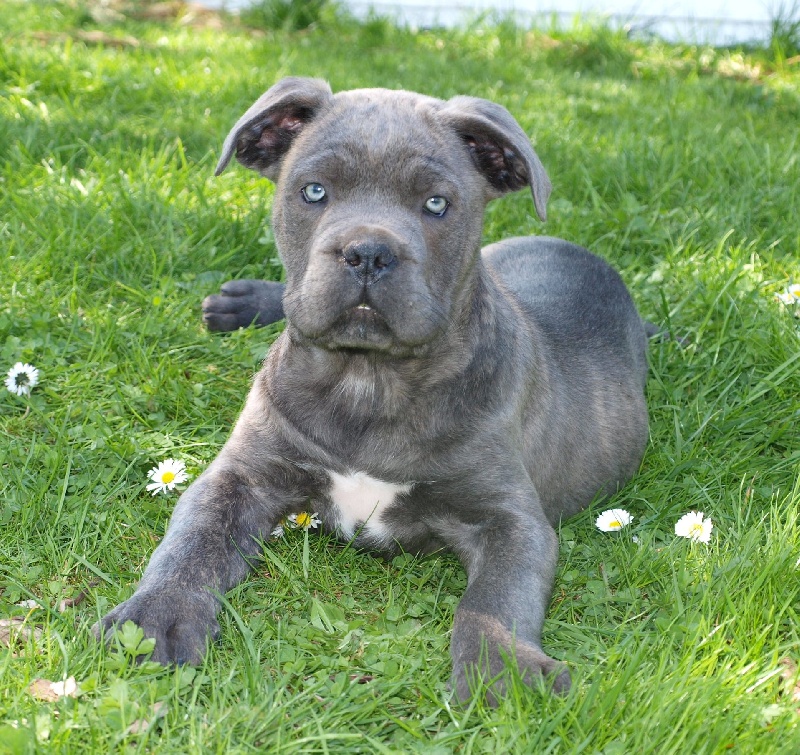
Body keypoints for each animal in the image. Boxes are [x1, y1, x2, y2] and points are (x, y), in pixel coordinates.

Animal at [98, 77, 648, 704]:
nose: (367, 252)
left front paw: (500, 669)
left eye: (436, 204)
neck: (369, 381)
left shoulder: (510, 519)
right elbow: (190, 543)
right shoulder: (241, 476)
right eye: (314, 191)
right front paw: (157, 616)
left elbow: (494, 600)